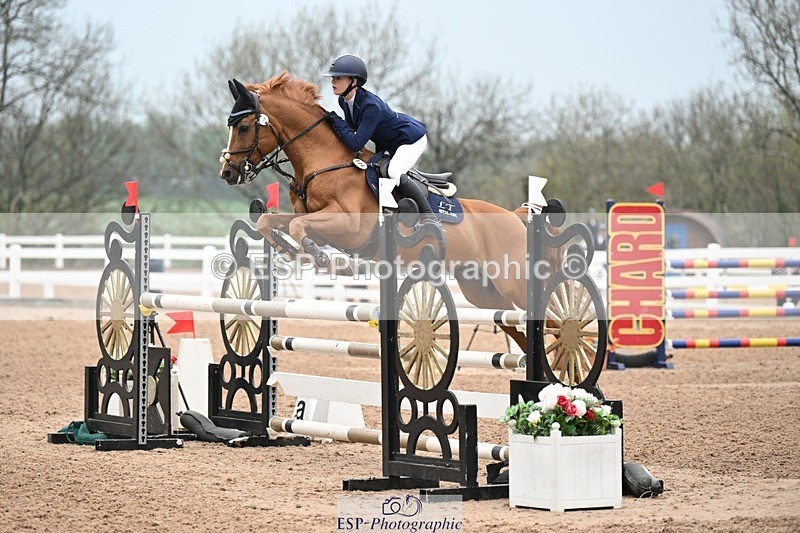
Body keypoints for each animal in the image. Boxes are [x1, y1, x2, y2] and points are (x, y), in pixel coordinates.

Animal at [218, 72, 563, 352]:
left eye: (245, 127)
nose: (227, 173)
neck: (323, 160)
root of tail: (515, 216)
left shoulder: (352, 227)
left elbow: (301, 229)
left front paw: (329, 261)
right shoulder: (308, 215)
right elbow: (272, 221)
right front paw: (287, 250)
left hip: (512, 281)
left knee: (551, 318)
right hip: (482, 291)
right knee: (520, 326)